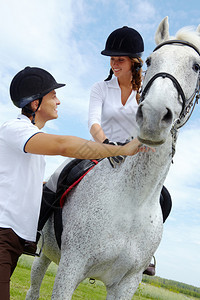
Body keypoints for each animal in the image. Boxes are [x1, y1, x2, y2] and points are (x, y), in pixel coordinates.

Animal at [26, 17, 200, 300]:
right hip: (46, 256)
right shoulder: (70, 268)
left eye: (196, 66)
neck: (133, 201)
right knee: (33, 288)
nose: (154, 116)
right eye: (150, 60)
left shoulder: (127, 283)